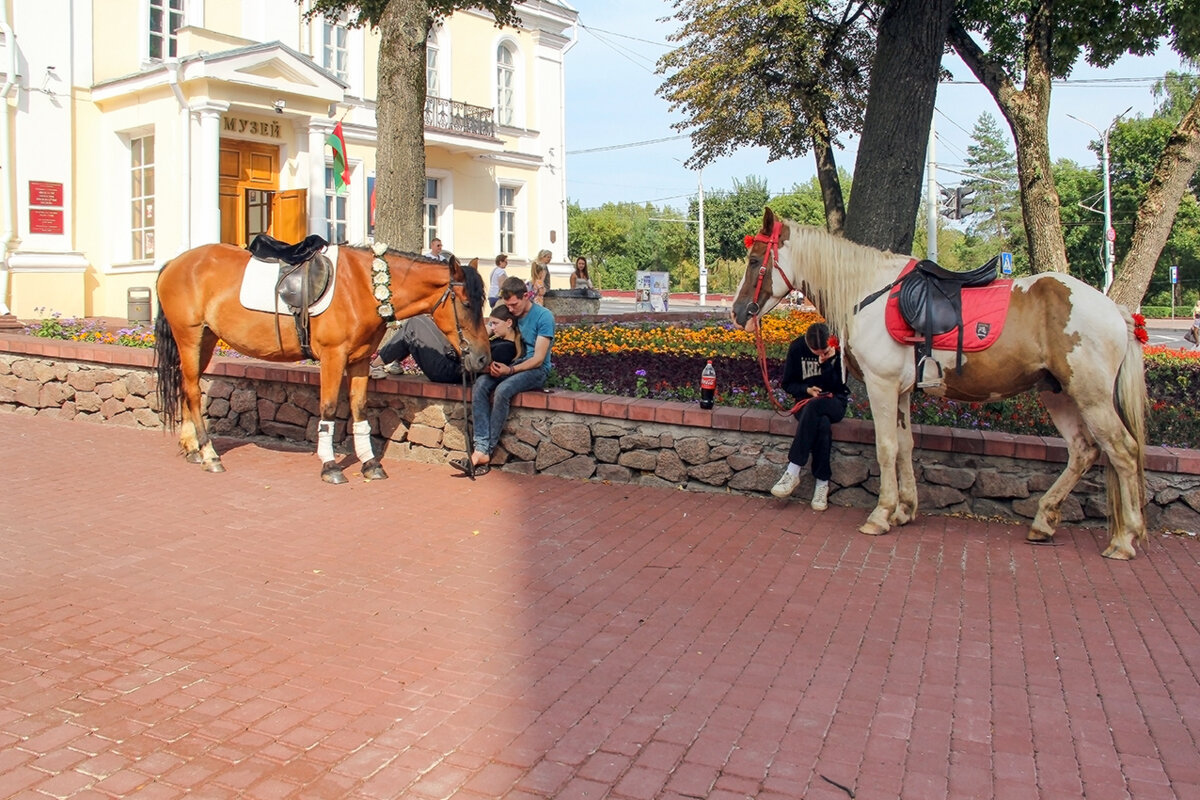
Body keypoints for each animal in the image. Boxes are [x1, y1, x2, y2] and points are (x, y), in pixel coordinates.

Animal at [156, 242, 492, 482]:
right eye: (465, 303)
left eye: (483, 301)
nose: (482, 358)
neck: (363, 287)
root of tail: (174, 263)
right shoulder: (333, 356)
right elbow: (329, 408)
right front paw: (330, 465)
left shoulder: (359, 359)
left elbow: (359, 409)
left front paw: (370, 463)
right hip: (189, 337)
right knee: (192, 391)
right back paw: (209, 454)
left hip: (206, 339)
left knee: (187, 387)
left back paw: (193, 448)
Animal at [729, 209, 1142, 561]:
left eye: (754, 261)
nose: (736, 312)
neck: (868, 292)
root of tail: (1115, 309)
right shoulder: (901, 391)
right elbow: (905, 447)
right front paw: (904, 510)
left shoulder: (882, 385)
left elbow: (886, 448)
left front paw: (881, 514)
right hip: (1057, 393)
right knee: (1083, 451)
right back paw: (1044, 521)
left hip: (1090, 395)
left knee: (1123, 451)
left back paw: (1125, 539)